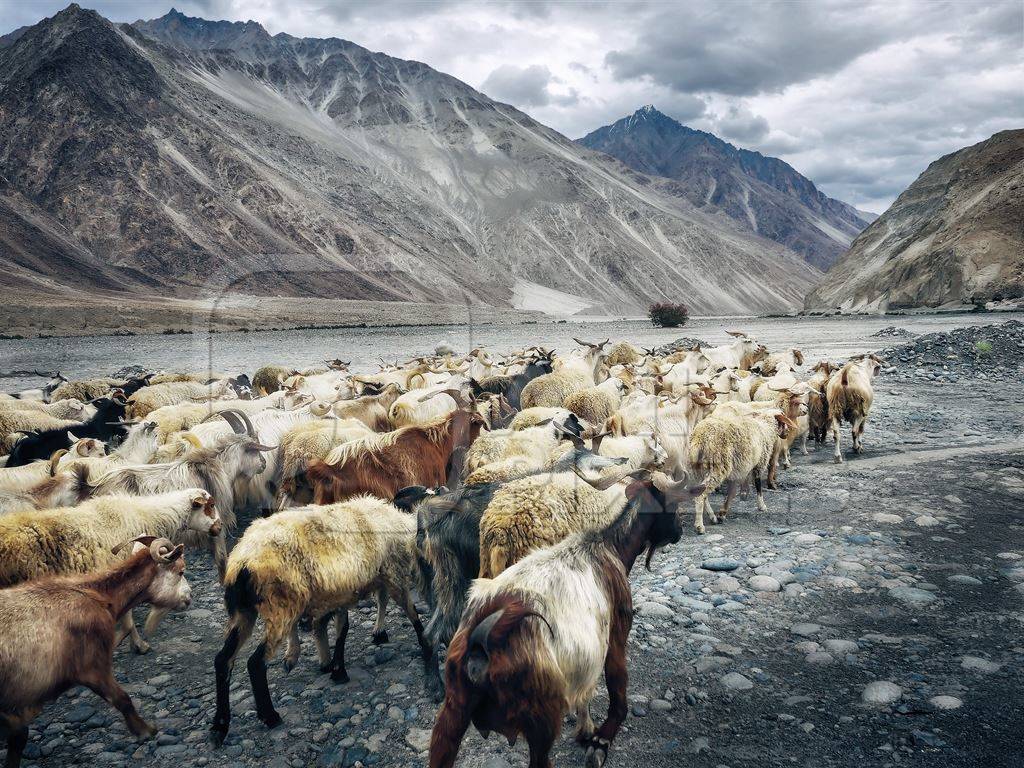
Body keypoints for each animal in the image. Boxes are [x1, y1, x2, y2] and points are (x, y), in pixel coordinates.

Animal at [0, 540, 190, 768]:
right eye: (181, 571)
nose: (189, 597)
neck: (98, 595)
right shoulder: (93, 666)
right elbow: (122, 699)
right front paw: (145, 731)